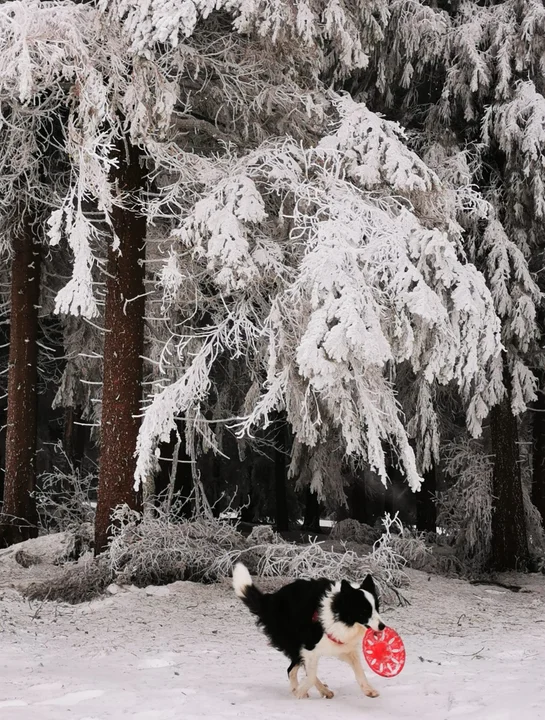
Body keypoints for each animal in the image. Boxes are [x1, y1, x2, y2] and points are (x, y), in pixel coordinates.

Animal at [232, 564, 384, 696]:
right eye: (364, 611)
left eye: (377, 608)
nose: (382, 626)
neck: (338, 611)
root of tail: (269, 601)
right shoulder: (309, 648)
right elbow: (310, 676)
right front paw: (299, 693)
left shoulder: (342, 646)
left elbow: (359, 670)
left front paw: (368, 690)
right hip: (294, 643)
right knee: (292, 670)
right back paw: (305, 689)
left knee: (295, 670)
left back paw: (321, 690)